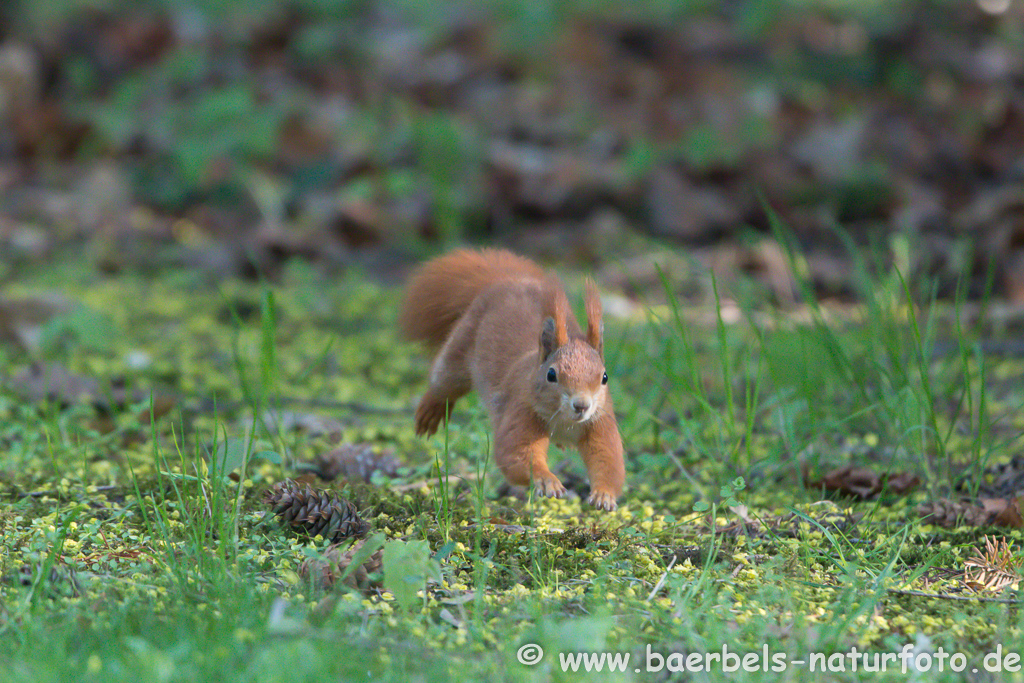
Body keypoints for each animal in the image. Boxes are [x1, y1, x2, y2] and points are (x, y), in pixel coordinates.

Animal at [397, 248, 622, 509]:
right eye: (551, 375)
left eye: (604, 376)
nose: (582, 405)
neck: (564, 421)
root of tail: (507, 280)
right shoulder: (521, 410)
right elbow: (516, 454)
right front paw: (546, 480)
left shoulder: (600, 421)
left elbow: (608, 460)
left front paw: (604, 495)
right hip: (459, 348)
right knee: (443, 382)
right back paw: (430, 410)